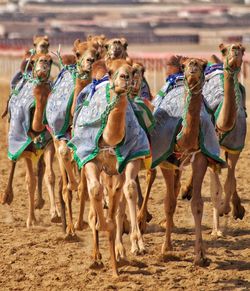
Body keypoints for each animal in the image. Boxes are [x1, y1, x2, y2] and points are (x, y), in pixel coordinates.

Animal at [0, 54, 55, 228]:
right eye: (34, 60)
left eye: (50, 60)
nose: (43, 63)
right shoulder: (26, 150)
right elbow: (29, 181)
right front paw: (31, 220)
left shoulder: (49, 144)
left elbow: (50, 175)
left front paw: (55, 214)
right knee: (14, 163)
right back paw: (6, 196)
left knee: (41, 169)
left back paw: (40, 202)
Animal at [182, 43, 246, 235]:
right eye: (224, 50)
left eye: (243, 49)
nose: (235, 50)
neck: (222, 125)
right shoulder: (211, 149)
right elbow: (215, 189)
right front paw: (216, 229)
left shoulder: (235, 148)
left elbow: (229, 182)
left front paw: (227, 209)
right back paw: (186, 191)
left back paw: (236, 209)